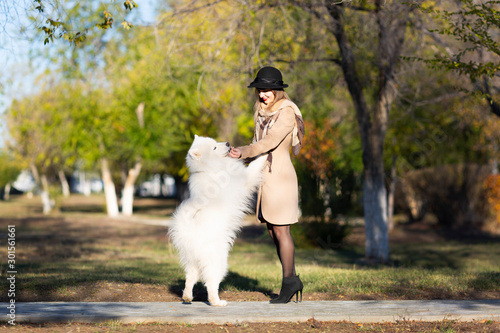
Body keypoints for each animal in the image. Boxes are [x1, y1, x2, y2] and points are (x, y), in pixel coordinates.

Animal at [168, 134, 268, 304]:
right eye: (214, 147)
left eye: (216, 142)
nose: (227, 143)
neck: (211, 169)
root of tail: (189, 233)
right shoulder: (245, 179)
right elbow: (255, 166)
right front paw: (265, 153)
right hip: (218, 261)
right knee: (211, 284)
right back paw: (217, 302)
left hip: (193, 261)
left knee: (190, 278)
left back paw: (187, 296)